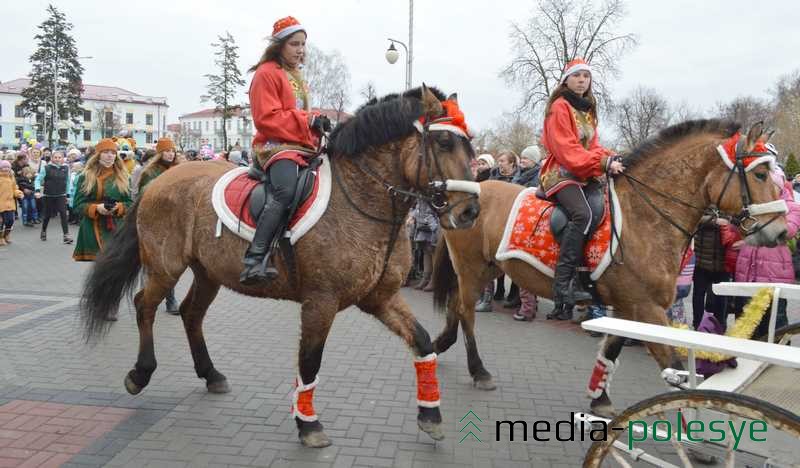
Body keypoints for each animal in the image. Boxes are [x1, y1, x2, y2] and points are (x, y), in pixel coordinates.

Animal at [79, 86, 482, 448]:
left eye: (471, 145)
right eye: (444, 141)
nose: (470, 211)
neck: (362, 200)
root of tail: (157, 181)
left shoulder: (380, 297)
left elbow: (423, 342)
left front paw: (430, 414)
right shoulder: (320, 302)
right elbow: (310, 361)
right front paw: (309, 424)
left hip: (208, 272)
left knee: (192, 314)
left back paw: (210, 374)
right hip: (165, 266)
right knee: (144, 305)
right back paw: (140, 373)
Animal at [432, 120, 788, 416]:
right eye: (760, 174)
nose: (782, 232)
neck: (643, 217)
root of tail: (469, 194)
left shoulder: (629, 307)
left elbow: (613, 350)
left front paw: (599, 398)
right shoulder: (645, 308)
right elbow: (673, 366)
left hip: (488, 268)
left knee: (457, 305)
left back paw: (441, 344)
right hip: (470, 267)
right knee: (465, 311)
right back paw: (478, 370)